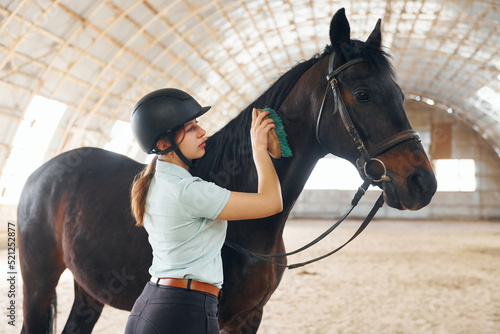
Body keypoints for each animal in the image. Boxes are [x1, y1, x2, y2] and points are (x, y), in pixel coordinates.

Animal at [17, 9, 436, 332]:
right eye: (363, 94)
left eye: (400, 95)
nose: (423, 184)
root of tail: (42, 173)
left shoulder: (250, 317)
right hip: (38, 282)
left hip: (89, 291)